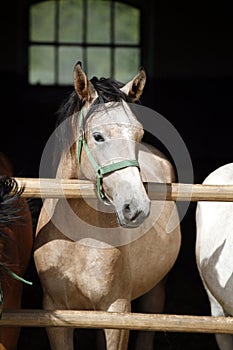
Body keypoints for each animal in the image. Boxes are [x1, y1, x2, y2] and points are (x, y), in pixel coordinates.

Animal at [33, 63, 181, 350]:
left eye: (139, 133)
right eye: (98, 136)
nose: (136, 207)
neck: (78, 240)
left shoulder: (117, 312)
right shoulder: (55, 315)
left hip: (155, 293)